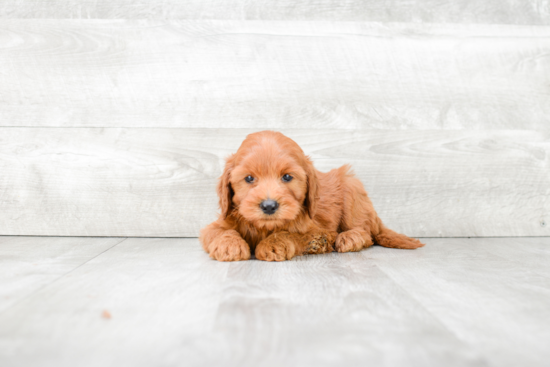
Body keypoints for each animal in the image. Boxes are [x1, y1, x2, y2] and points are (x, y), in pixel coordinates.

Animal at [201, 131, 424, 264]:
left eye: (287, 177)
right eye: (248, 178)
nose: (269, 206)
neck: (264, 227)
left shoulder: (316, 228)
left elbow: (290, 233)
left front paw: (273, 244)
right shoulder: (218, 222)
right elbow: (219, 232)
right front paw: (229, 245)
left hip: (351, 188)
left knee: (366, 233)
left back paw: (350, 238)